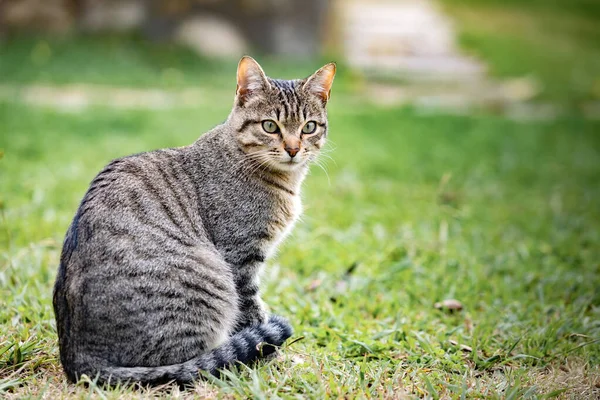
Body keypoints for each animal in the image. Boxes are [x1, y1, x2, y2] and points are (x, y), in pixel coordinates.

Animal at [52, 56, 336, 384]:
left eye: (309, 127)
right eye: (270, 126)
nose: (293, 149)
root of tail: (77, 358)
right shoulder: (240, 261)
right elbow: (253, 314)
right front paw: (273, 360)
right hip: (211, 281)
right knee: (192, 365)